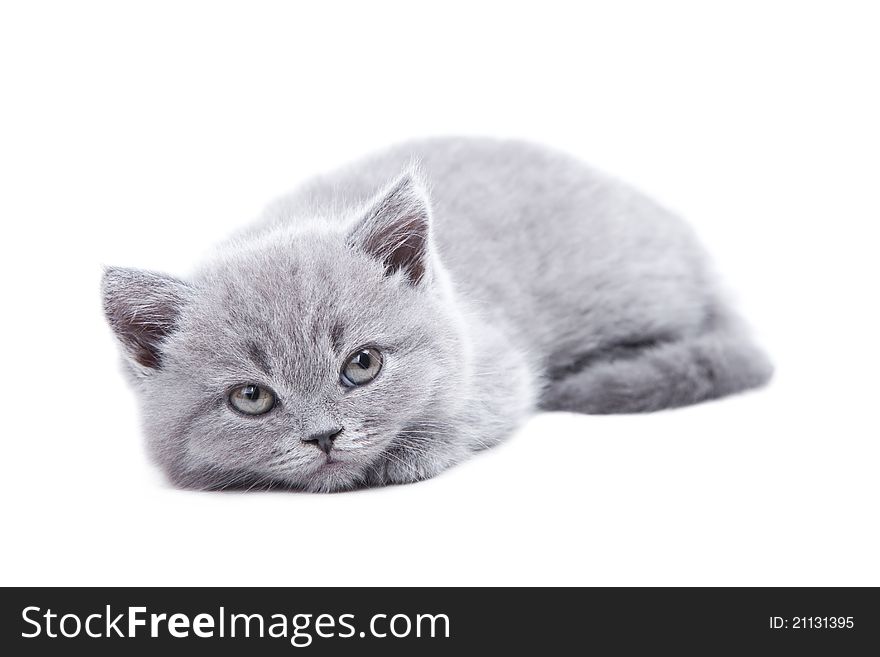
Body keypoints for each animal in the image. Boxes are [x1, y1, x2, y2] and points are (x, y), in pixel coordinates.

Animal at [103, 136, 772, 490]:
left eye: (363, 364)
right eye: (251, 398)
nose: (324, 435)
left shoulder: (499, 359)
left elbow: (477, 408)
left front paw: (409, 452)